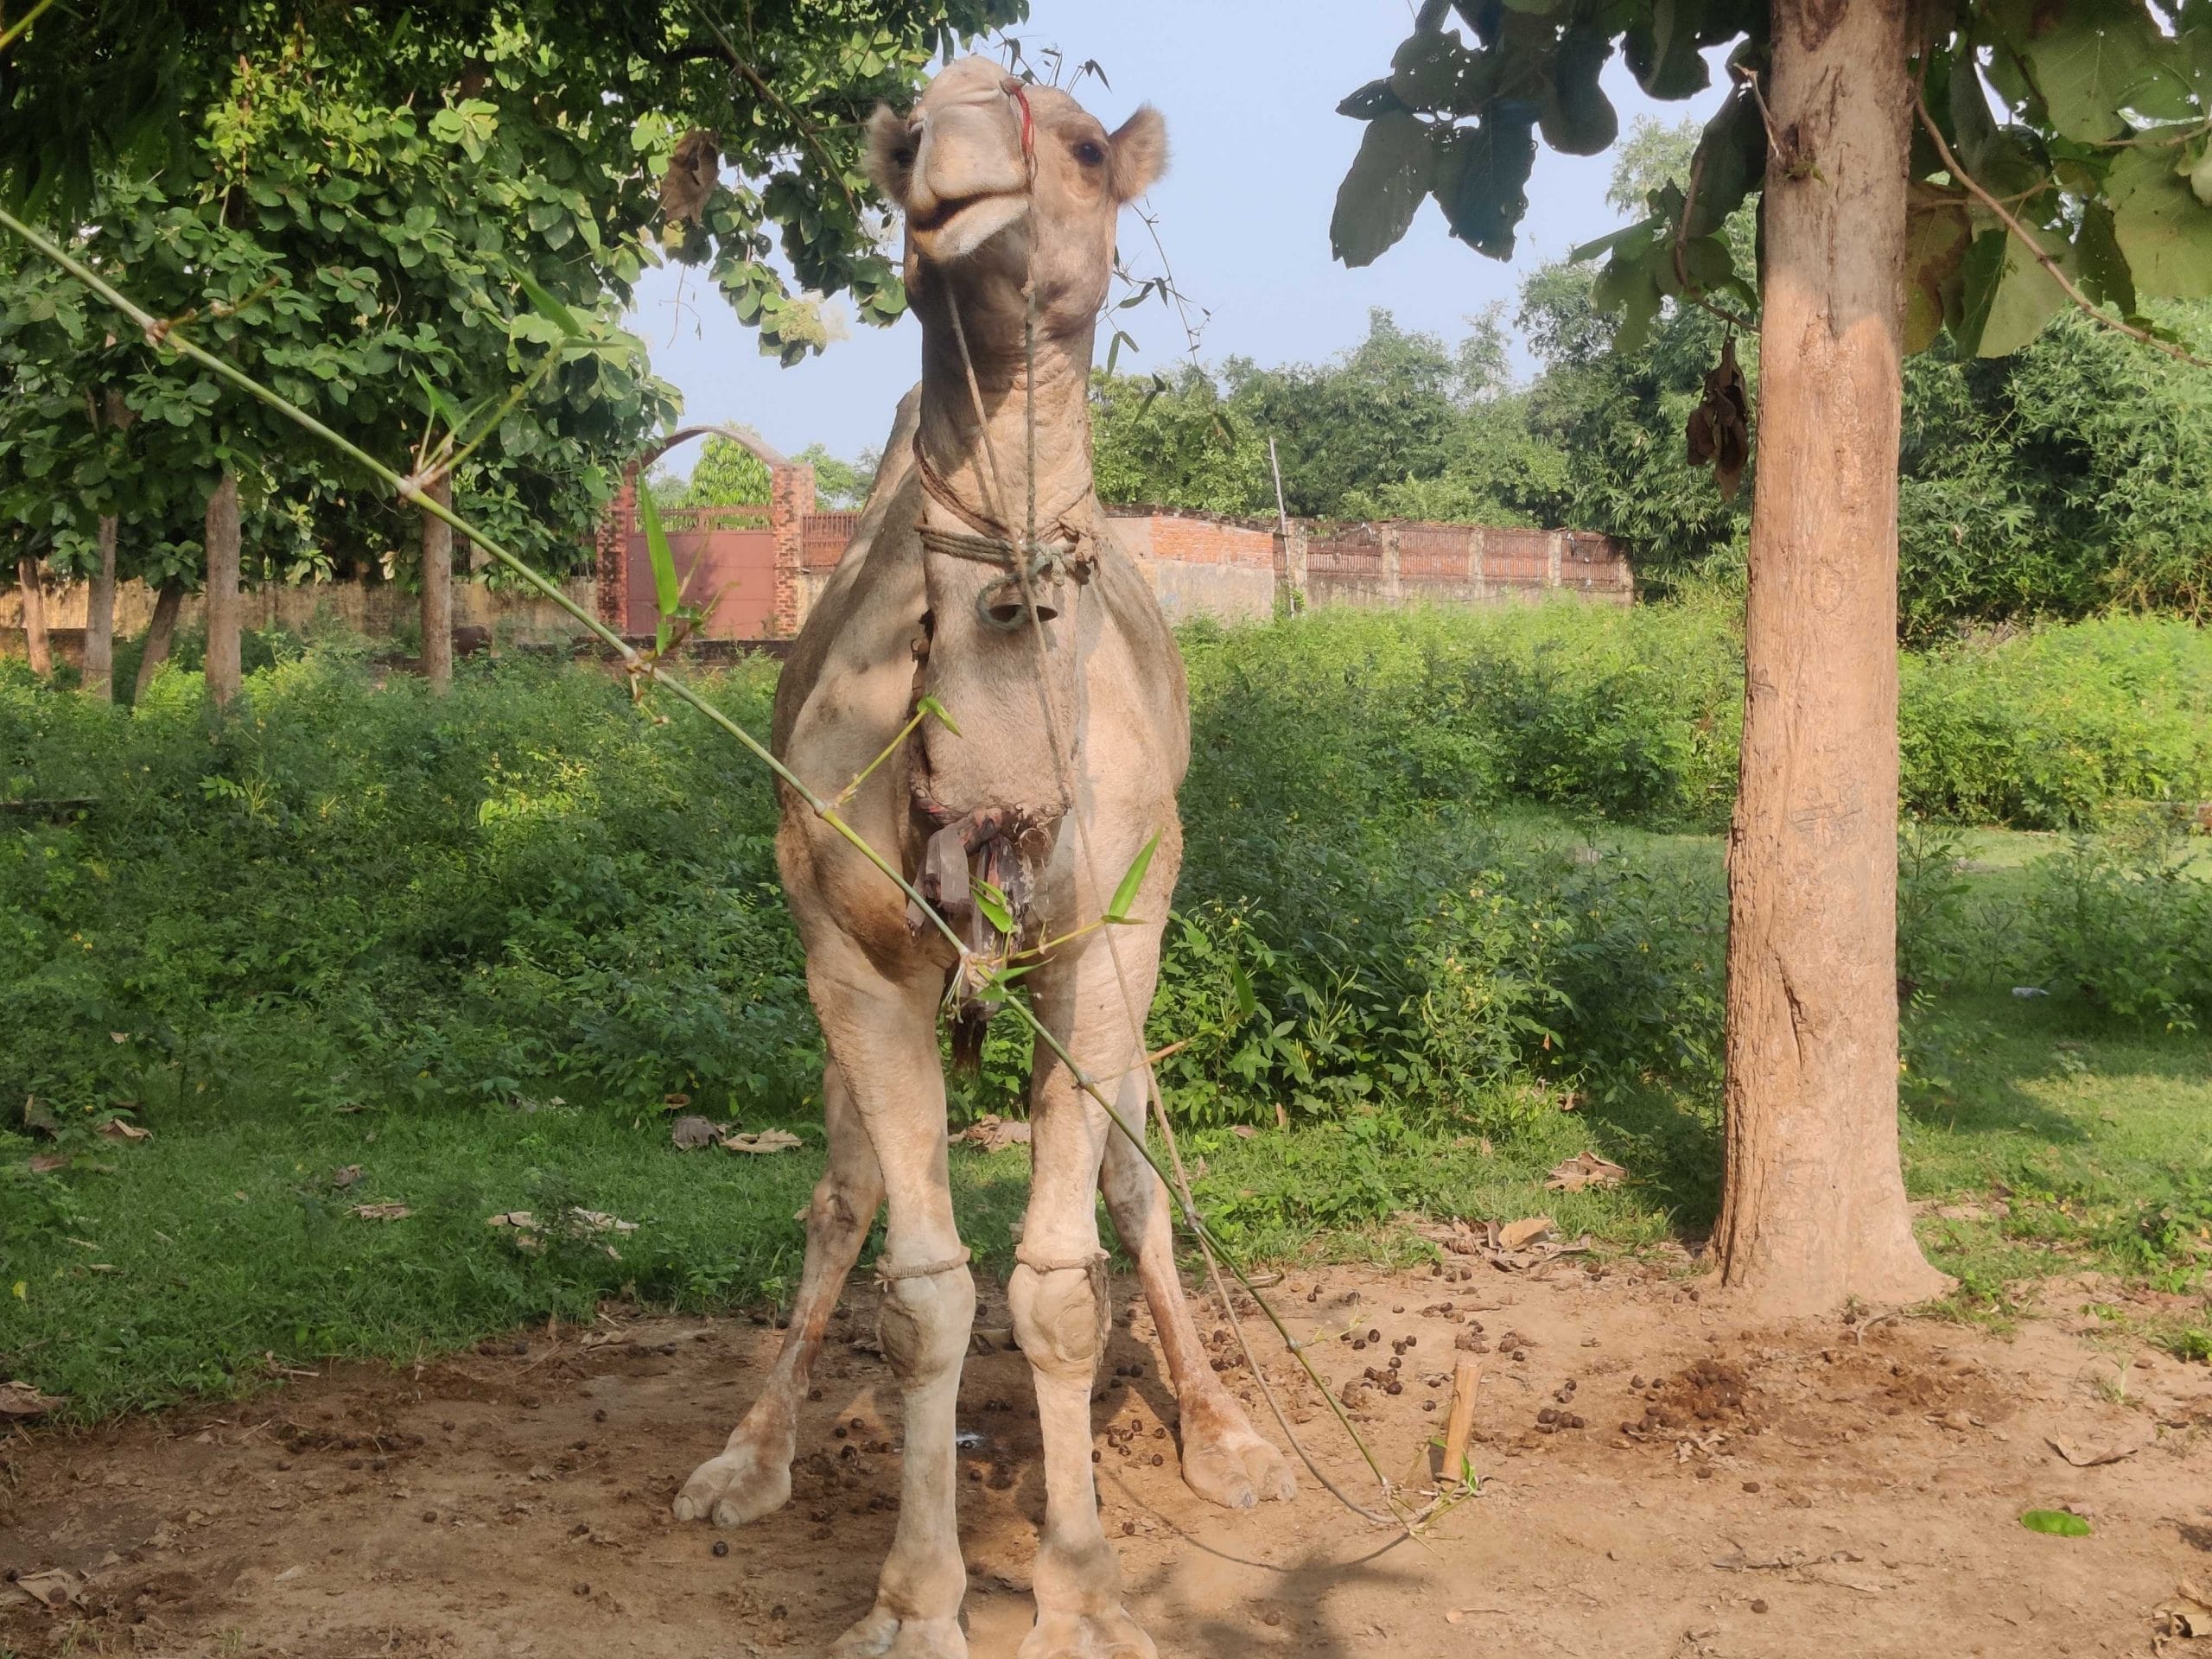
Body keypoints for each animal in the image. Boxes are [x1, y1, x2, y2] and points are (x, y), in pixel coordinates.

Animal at [672, 57, 1292, 1659]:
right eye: (900, 142)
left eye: (1079, 144)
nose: (951, 168)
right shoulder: (852, 950)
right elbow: (921, 1287)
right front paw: (913, 1600)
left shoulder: (1116, 931)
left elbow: (1064, 1283)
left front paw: (1081, 1591)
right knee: (841, 1198)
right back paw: (744, 1460)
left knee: (1138, 1177)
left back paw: (1231, 1436)